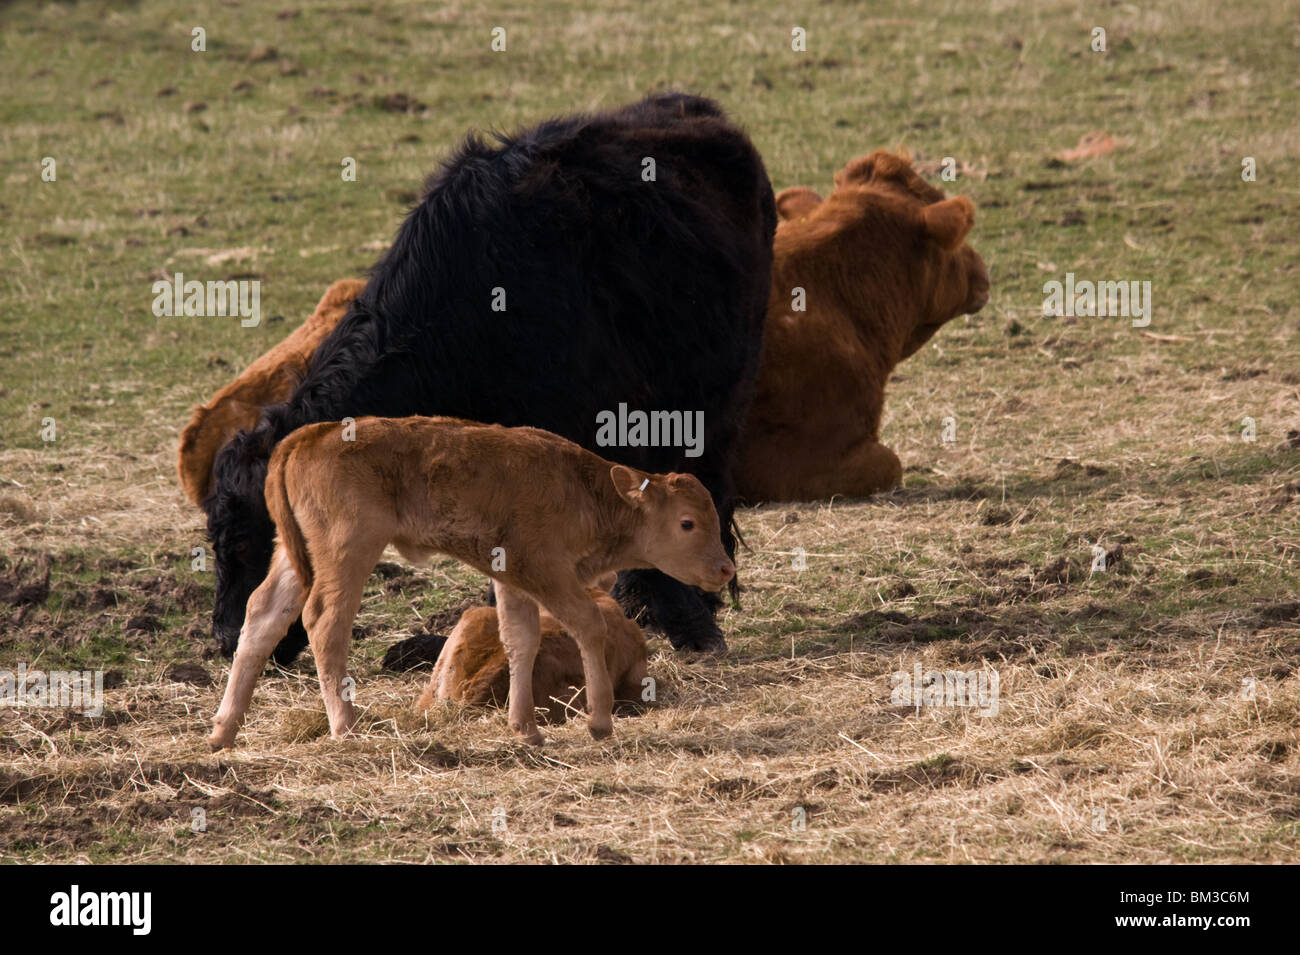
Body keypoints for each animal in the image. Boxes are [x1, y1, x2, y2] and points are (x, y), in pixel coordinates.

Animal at [206, 416, 733, 749]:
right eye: (687, 523)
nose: (726, 569)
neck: (584, 491)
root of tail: (308, 436)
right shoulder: (545, 571)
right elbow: (587, 625)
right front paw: (599, 722)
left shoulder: (513, 579)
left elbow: (520, 639)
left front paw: (525, 729)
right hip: (347, 553)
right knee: (325, 623)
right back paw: (346, 727)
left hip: (295, 558)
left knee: (262, 616)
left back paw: (223, 731)